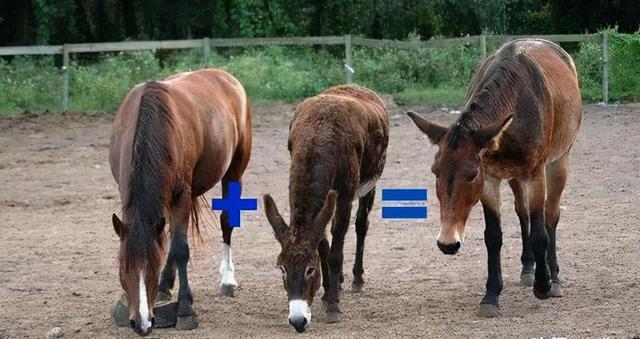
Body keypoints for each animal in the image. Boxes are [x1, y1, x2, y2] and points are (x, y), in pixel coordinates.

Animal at [109, 68, 251, 334]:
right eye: (123, 268)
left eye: (152, 268)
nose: (142, 324)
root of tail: (225, 76)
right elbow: (169, 243)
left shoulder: (180, 196)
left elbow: (180, 249)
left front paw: (185, 309)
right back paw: (166, 285)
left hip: (234, 170)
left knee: (226, 221)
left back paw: (227, 279)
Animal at [262, 84, 388, 332]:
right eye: (282, 268)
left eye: (310, 269)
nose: (298, 321)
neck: (318, 138)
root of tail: (357, 87)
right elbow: (322, 243)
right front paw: (329, 289)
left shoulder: (346, 195)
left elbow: (336, 252)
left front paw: (333, 306)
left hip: (370, 182)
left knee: (361, 225)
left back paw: (356, 279)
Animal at [408, 39, 584, 318]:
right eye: (435, 171)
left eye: (471, 175)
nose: (447, 243)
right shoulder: (490, 179)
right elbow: (493, 236)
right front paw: (491, 296)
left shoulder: (535, 175)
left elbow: (540, 233)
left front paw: (543, 285)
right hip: (514, 175)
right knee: (523, 213)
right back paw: (527, 269)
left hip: (559, 163)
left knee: (550, 215)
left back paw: (553, 279)